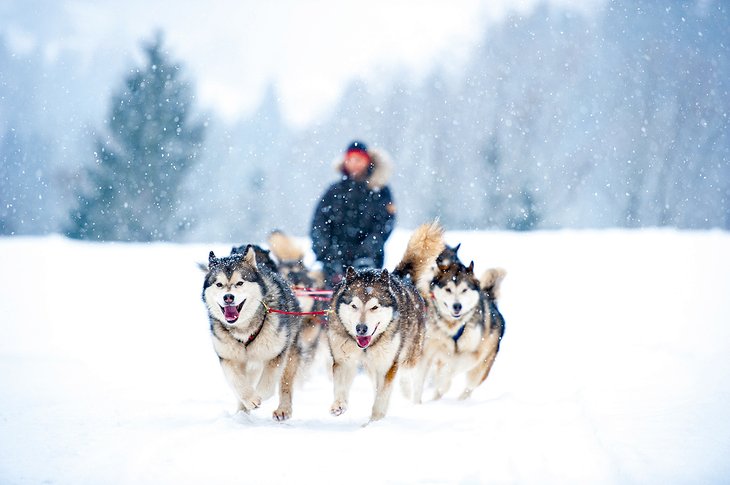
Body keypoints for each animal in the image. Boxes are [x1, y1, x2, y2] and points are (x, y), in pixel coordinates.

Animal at [200, 246, 300, 420]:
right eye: (219, 284)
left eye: (240, 282)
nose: (228, 297)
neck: (243, 329)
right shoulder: (228, 358)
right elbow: (237, 382)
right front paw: (249, 399)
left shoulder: (276, 355)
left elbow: (267, 386)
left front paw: (258, 396)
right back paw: (242, 413)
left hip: (289, 353)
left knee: (285, 383)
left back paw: (283, 409)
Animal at [326, 221, 444, 422]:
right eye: (354, 306)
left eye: (374, 307)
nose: (361, 328)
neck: (366, 347)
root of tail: (398, 277)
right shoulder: (343, 360)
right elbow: (341, 386)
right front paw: (339, 405)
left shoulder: (387, 365)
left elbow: (382, 397)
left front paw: (375, 421)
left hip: (409, 355)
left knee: (408, 374)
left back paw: (409, 394)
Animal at [410, 260, 506, 402]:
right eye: (448, 289)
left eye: (464, 290)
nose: (457, 306)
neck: (452, 326)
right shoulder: (427, 351)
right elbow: (418, 381)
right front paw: (416, 403)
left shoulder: (472, 354)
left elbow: (451, 368)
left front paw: (442, 383)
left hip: (479, 370)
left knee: (468, 387)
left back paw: (459, 400)